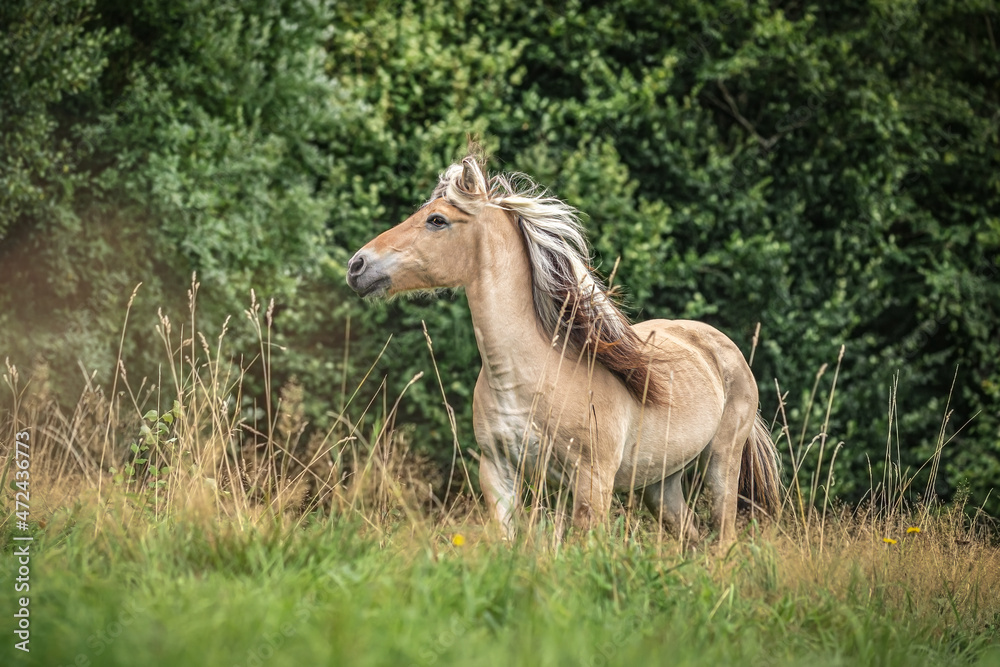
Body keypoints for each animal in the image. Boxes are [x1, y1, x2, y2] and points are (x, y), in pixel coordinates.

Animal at [346, 151, 781, 546]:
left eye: (437, 220)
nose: (357, 266)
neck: (528, 375)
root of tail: (721, 346)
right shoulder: (498, 471)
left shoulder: (592, 481)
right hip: (662, 483)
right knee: (691, 536)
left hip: (722, 461)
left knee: (723, 539)